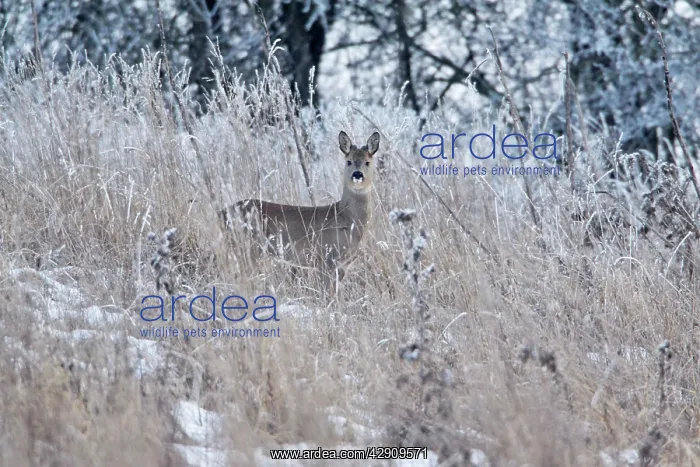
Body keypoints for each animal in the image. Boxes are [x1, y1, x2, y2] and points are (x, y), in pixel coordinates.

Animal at [220, 131, 380, 293]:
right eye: (349, 161)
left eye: (367, 162)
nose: (357, 175)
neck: (346, 218)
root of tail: (221, 213)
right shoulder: (326, 259)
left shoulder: (341, 266)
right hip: (247, 248)